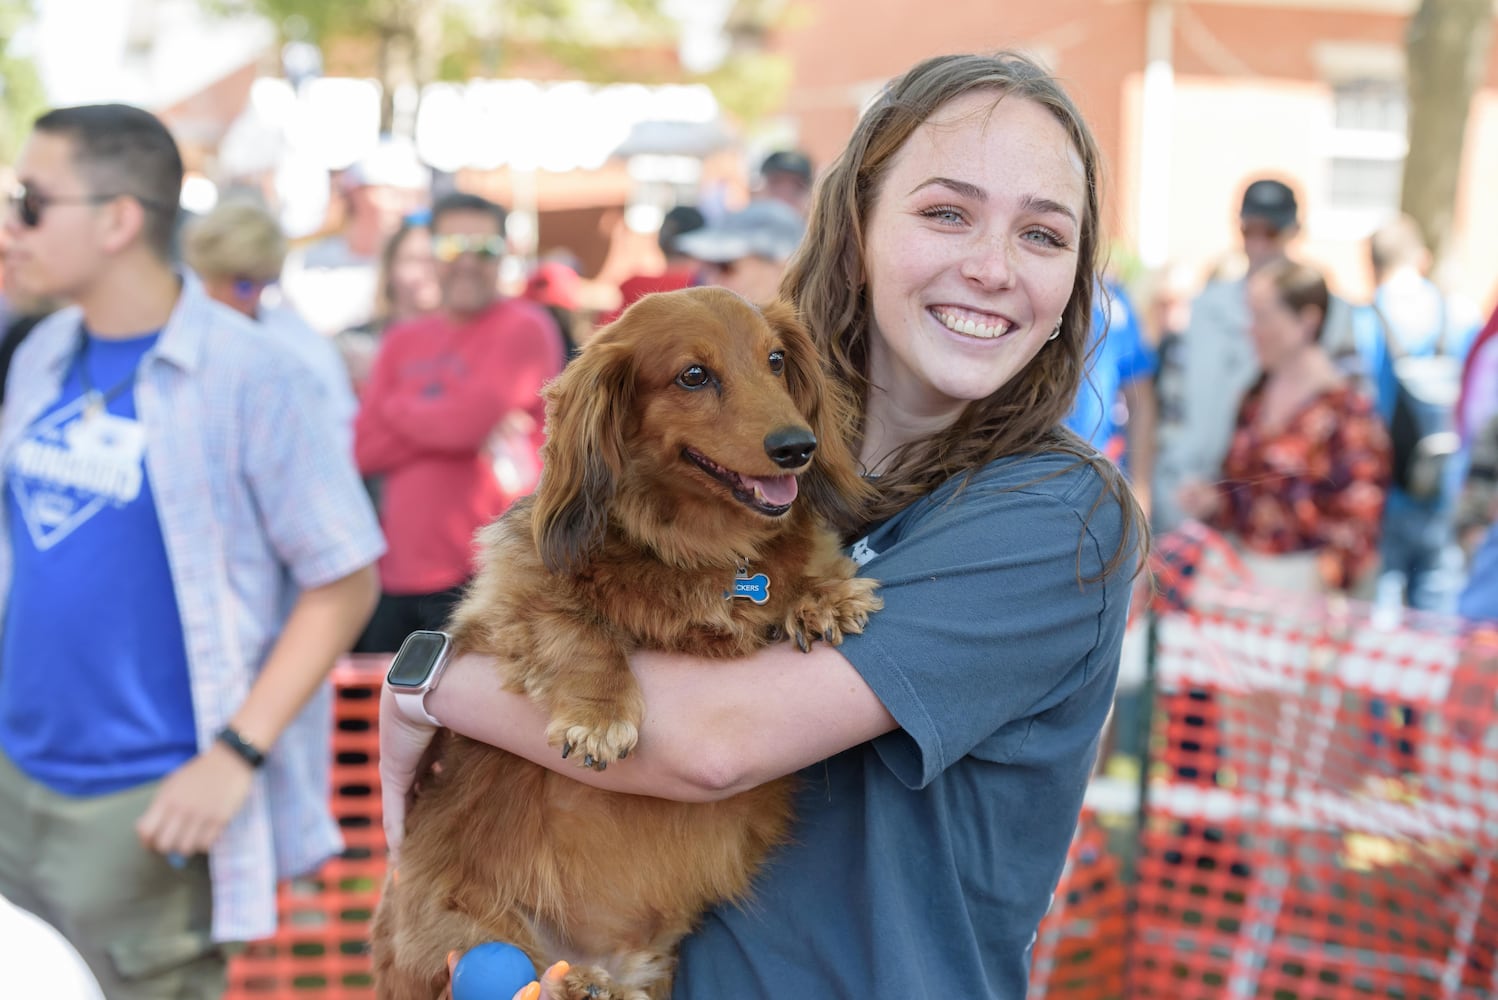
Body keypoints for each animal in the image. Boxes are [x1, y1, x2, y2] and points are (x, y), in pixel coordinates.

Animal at [371, 287, 874, 999]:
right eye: (693, 375)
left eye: (776, 361)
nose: (797, 447)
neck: (700, 549)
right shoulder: (507, 604)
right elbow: (577, 629)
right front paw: (600, 716)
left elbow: (809, 566)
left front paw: (824, 596)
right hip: (459, 927)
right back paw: (573, 983)